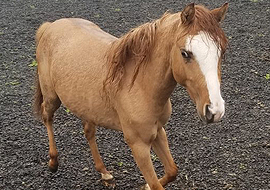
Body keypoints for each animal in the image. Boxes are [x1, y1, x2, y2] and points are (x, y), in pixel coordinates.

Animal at [33, 2, 228, 190]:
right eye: (185, 53)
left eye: (221, 52)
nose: (214, 110)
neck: (139, 85)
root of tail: (50, 26)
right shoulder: (138, 145)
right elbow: (157, 185)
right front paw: (149, 185)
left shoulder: (158, 131)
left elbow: (172, 170)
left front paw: (145, 186)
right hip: (52, 97)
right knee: (47, 116)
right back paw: (53, 161)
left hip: (86, 107)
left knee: (88, 132)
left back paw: (105, 173)